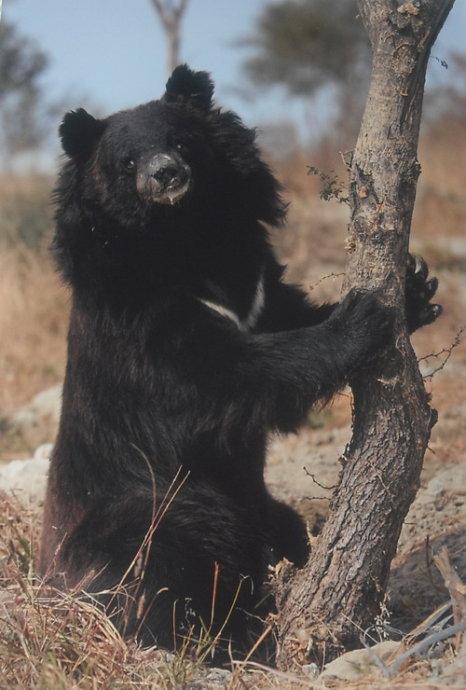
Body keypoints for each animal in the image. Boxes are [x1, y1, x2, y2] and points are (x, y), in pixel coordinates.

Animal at [39, 65, 441, 657]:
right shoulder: (136, 316)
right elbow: (218, 377)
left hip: (255, 505)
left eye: (182, 141)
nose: (166, 174)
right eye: (126, 163)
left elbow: (282, 317)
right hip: (147, 509)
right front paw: (364, 316)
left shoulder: (254, 281)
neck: (185, 237)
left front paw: (415, 290)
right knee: (163, 565)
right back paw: (209, 638)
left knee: (280, 530)